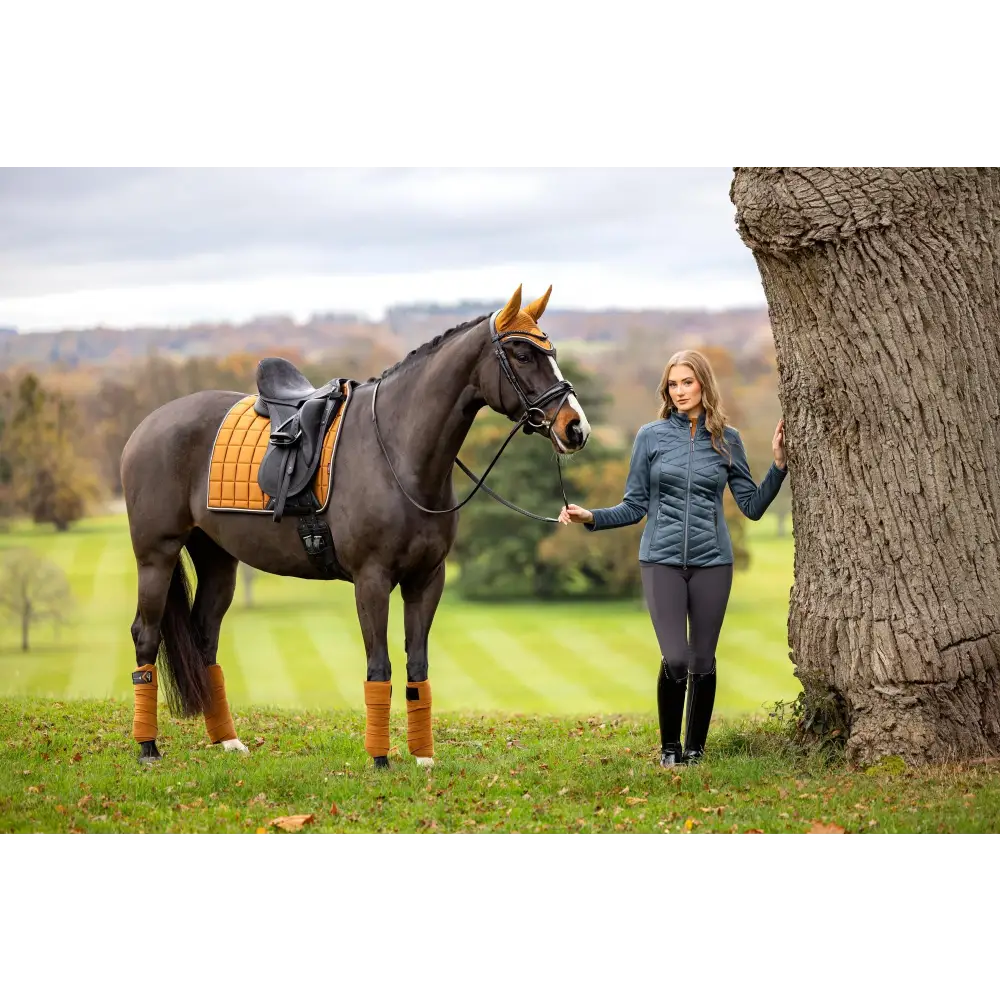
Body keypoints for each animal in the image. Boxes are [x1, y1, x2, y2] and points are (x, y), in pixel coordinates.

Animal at [125, 286, 592, 768]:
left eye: (552, 353)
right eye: (522, 354)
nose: (575, 427)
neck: (399, 452)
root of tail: (149, 424)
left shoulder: (427, 579)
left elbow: (417, 667)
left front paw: (423, 759)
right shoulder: (371, 580)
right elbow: (379, 667)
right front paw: (381, 760)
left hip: (219, 560)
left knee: (204, 638)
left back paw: (226, 740)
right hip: (157, 554)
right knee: (145, 635)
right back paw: (148, 747)